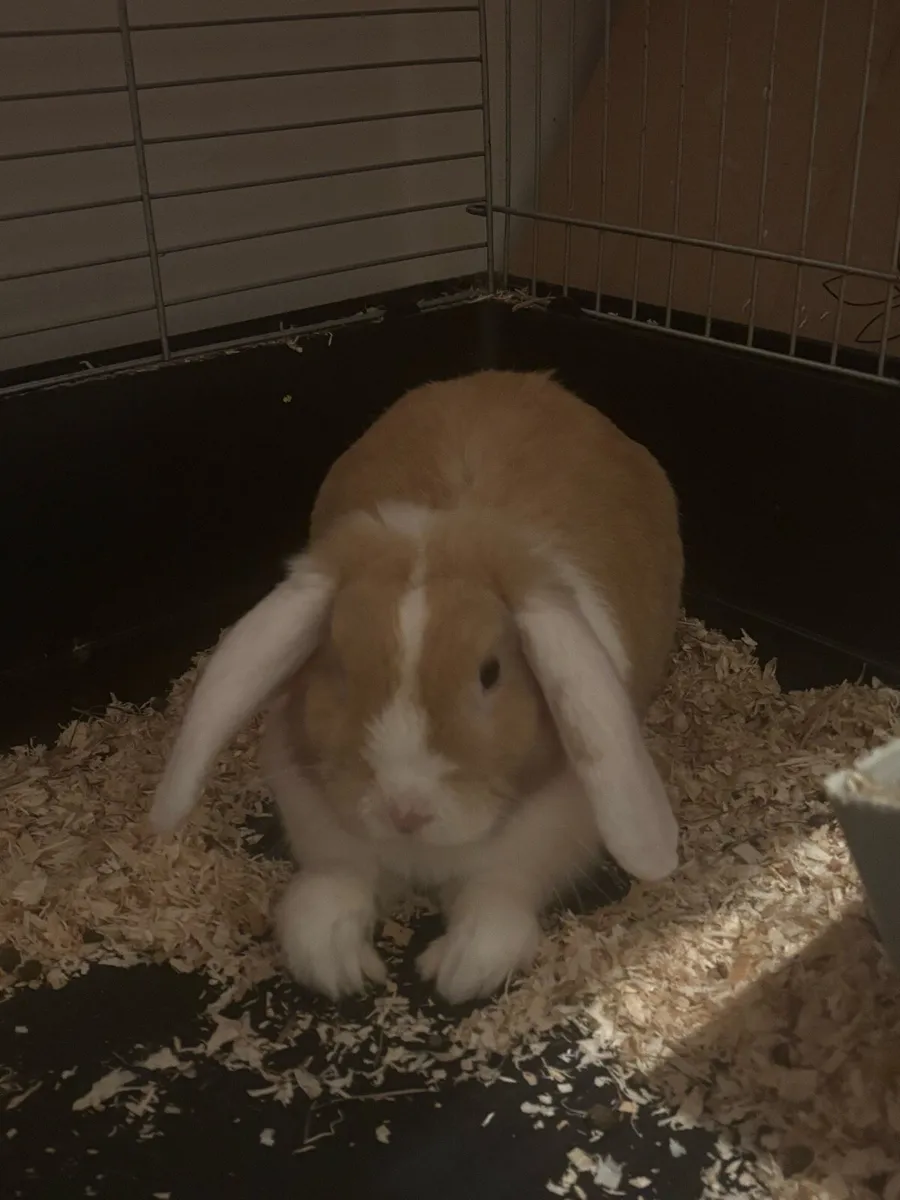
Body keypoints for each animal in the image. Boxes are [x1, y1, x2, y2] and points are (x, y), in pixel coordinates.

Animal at [148, 369, 683, 1004]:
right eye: (338, 663)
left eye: (490, 672)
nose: (405, 811)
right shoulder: (324, 827)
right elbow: (330, 891)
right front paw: (341, 967)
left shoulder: (542, 841)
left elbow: (496, 903)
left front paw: (455, 972)